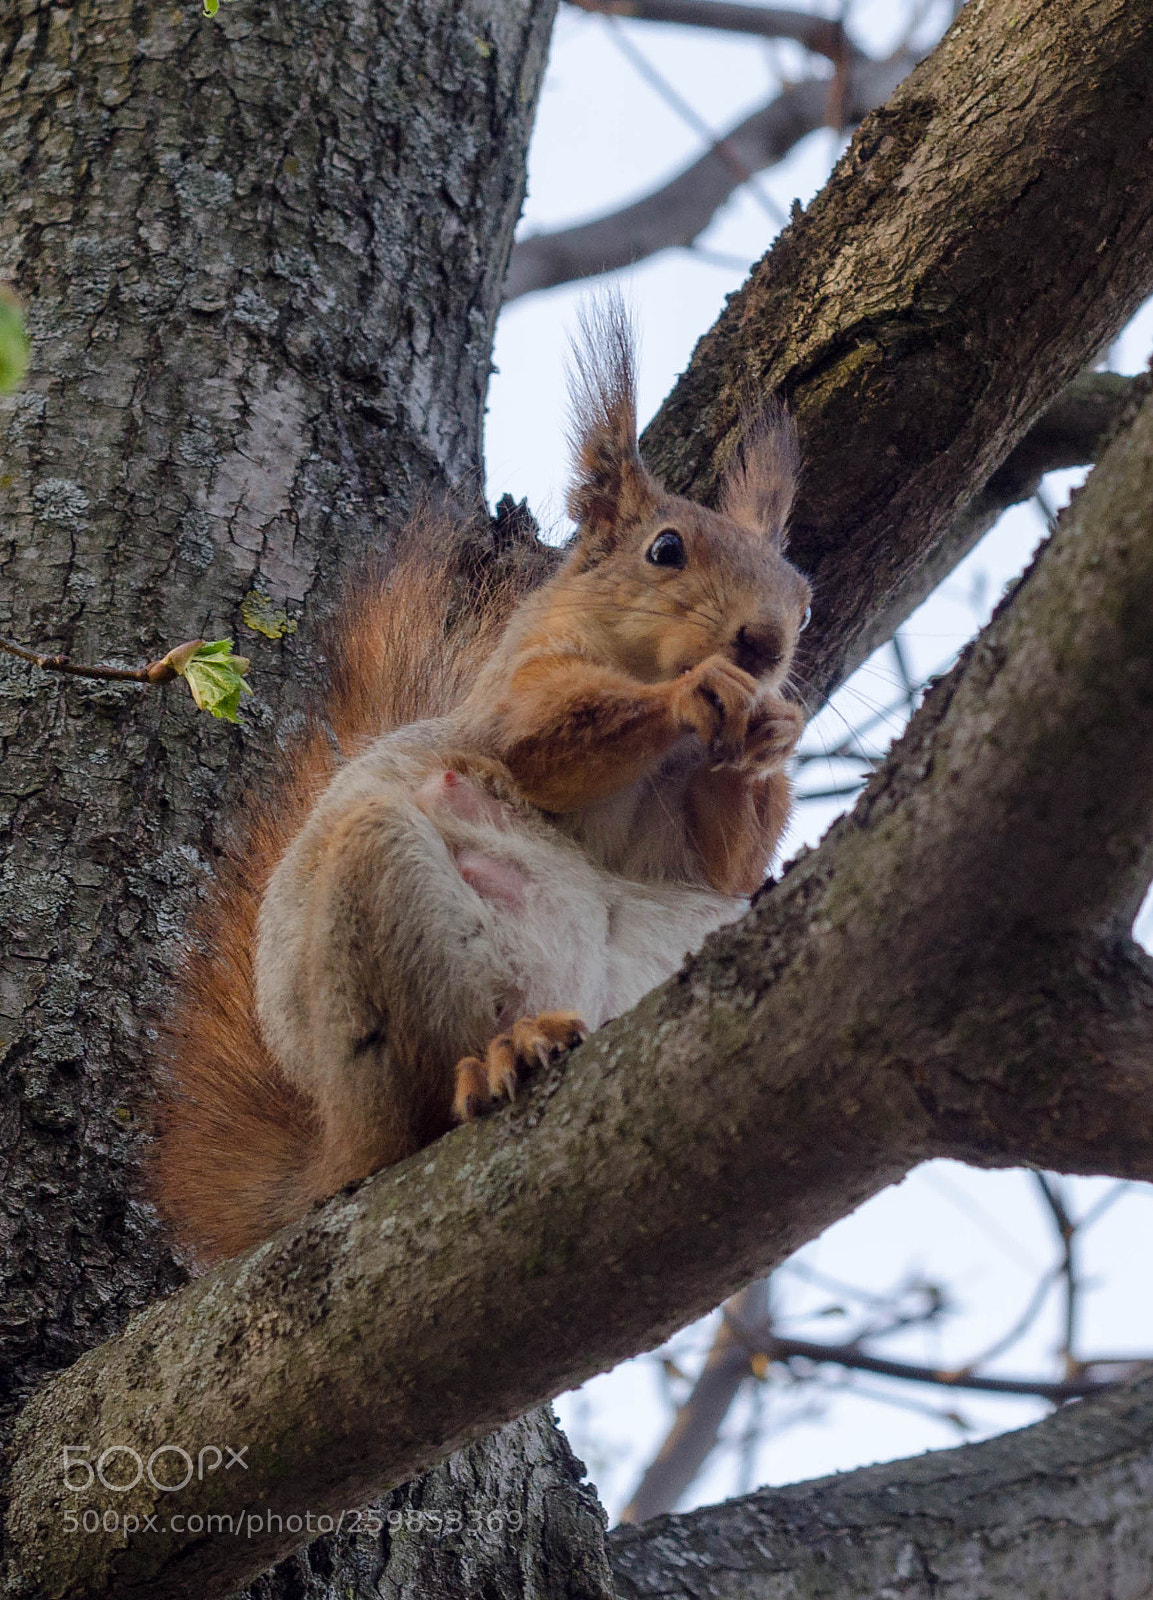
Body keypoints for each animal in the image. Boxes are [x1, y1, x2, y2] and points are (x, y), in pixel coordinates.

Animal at [155, 299, 812, 1263]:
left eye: (803, 594)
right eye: (665, 549)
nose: (764, 645)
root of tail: (337, 1139)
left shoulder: (702, 840)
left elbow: (725, 857)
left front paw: (775, 734)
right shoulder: (509, 694)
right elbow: (545, 743)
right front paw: (695, 692)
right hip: (396, 923)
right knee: (431, 1095)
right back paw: (499, 1057)